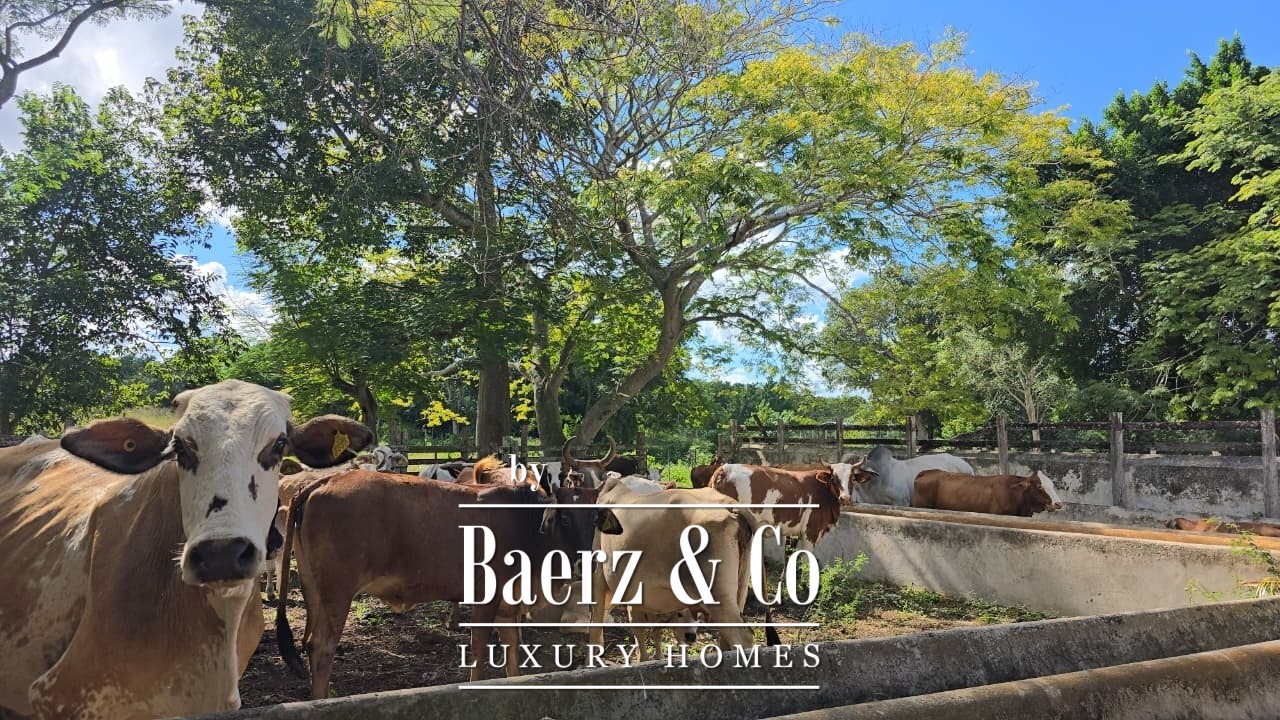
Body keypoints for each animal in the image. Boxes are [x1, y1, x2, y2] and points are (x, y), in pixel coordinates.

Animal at [275, 471, 621, 698]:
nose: (584, 563)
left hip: (314, 591)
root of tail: (323, 481)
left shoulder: (509, 604)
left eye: (594, 519)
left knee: (309, 643)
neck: (524, 521)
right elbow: (479, 653)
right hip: (338, 593)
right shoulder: (485, 597)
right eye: (564, 517)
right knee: (322, 646)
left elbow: (512, 651)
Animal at [589, 475, 759, 655]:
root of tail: (730, 505)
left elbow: (597, 631)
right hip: (739, 591)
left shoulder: (599, 577)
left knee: (742, 637)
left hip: (718, 596)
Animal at [710, 459, 870, 549]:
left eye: (852, 478)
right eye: (834, 478)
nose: (845, 498)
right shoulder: (810, 533)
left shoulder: (793, 533)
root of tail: (723, 469)